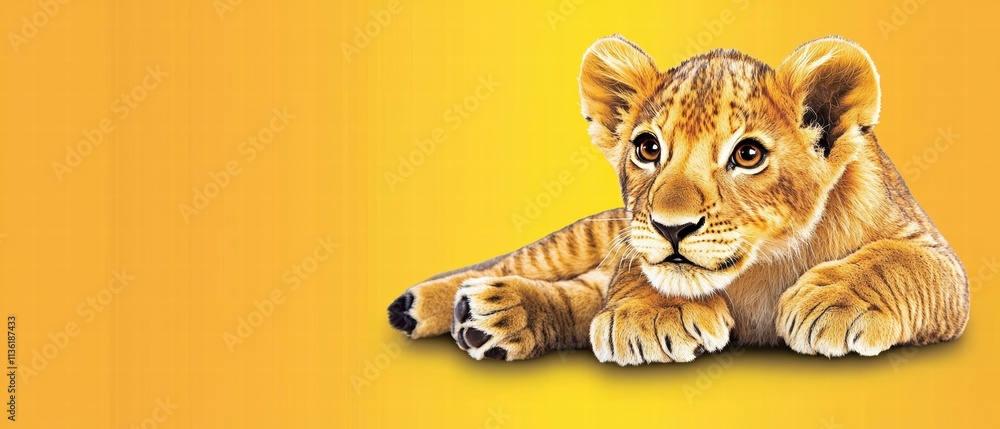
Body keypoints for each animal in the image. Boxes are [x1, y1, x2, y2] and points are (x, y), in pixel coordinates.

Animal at [386, 35, 970, 365]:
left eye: (748, 154)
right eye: (648, 148)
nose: (671, 227)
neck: (762, 270)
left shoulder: (938, 259)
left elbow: (898, 261)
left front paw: (833, 301)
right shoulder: (631, 249)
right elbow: (641, 275)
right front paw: (652, 318)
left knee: (577, 292)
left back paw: (493, 317)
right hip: (573, 242)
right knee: (516, 267)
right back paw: (437, 305)